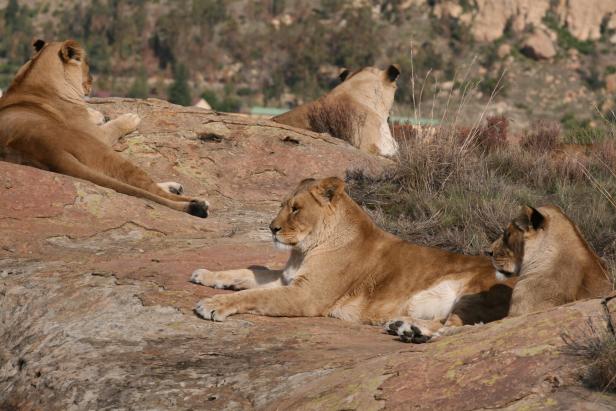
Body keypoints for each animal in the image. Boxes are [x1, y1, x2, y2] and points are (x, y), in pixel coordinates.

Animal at [0, 39, 209, 219]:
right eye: (87, 66)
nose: (91, 83)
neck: (31, 82)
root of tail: (49, 151)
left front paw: (99, 114)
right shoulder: (97, 134)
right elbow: (113, 126)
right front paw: (129, 118)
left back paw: (175, 188)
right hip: (109, 155)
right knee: (148, 188)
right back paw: (198, 203)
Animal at [191, 177, 516, 344]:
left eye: (295, 209)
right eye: (281, 205)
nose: (272, 228)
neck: (304, 249)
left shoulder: (306, 295)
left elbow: (253, 295)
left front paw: (212, 305)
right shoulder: (289, 279)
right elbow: (249, 271)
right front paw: (205, 274)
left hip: (473, 292)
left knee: (459, 328)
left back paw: (413, 332)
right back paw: (403, 326)